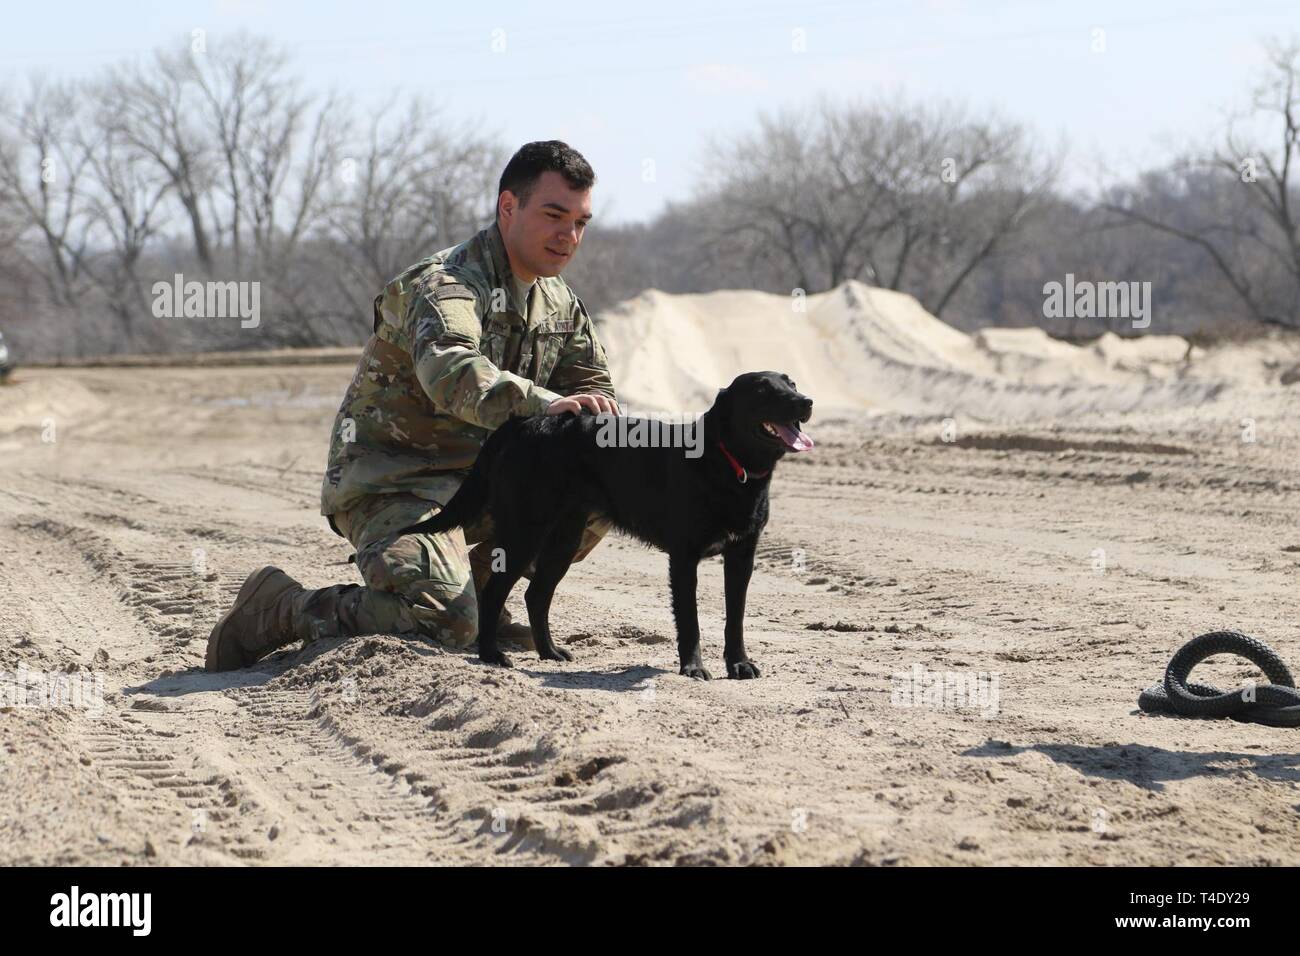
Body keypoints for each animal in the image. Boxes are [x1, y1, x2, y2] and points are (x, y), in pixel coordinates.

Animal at [405, 371, 811, 681]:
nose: (807, 401)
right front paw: (693, 668)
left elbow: (735, 618)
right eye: (763, 390)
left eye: (791, 382)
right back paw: (492, 656)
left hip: (564, 538)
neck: (730, 466)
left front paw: (739, 665)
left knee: (536, 594)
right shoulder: (683, 558)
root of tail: (523, 422)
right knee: (493, 592)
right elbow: (690, 620)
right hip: (526, 531)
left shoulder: (742, 556)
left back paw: (550, 652)